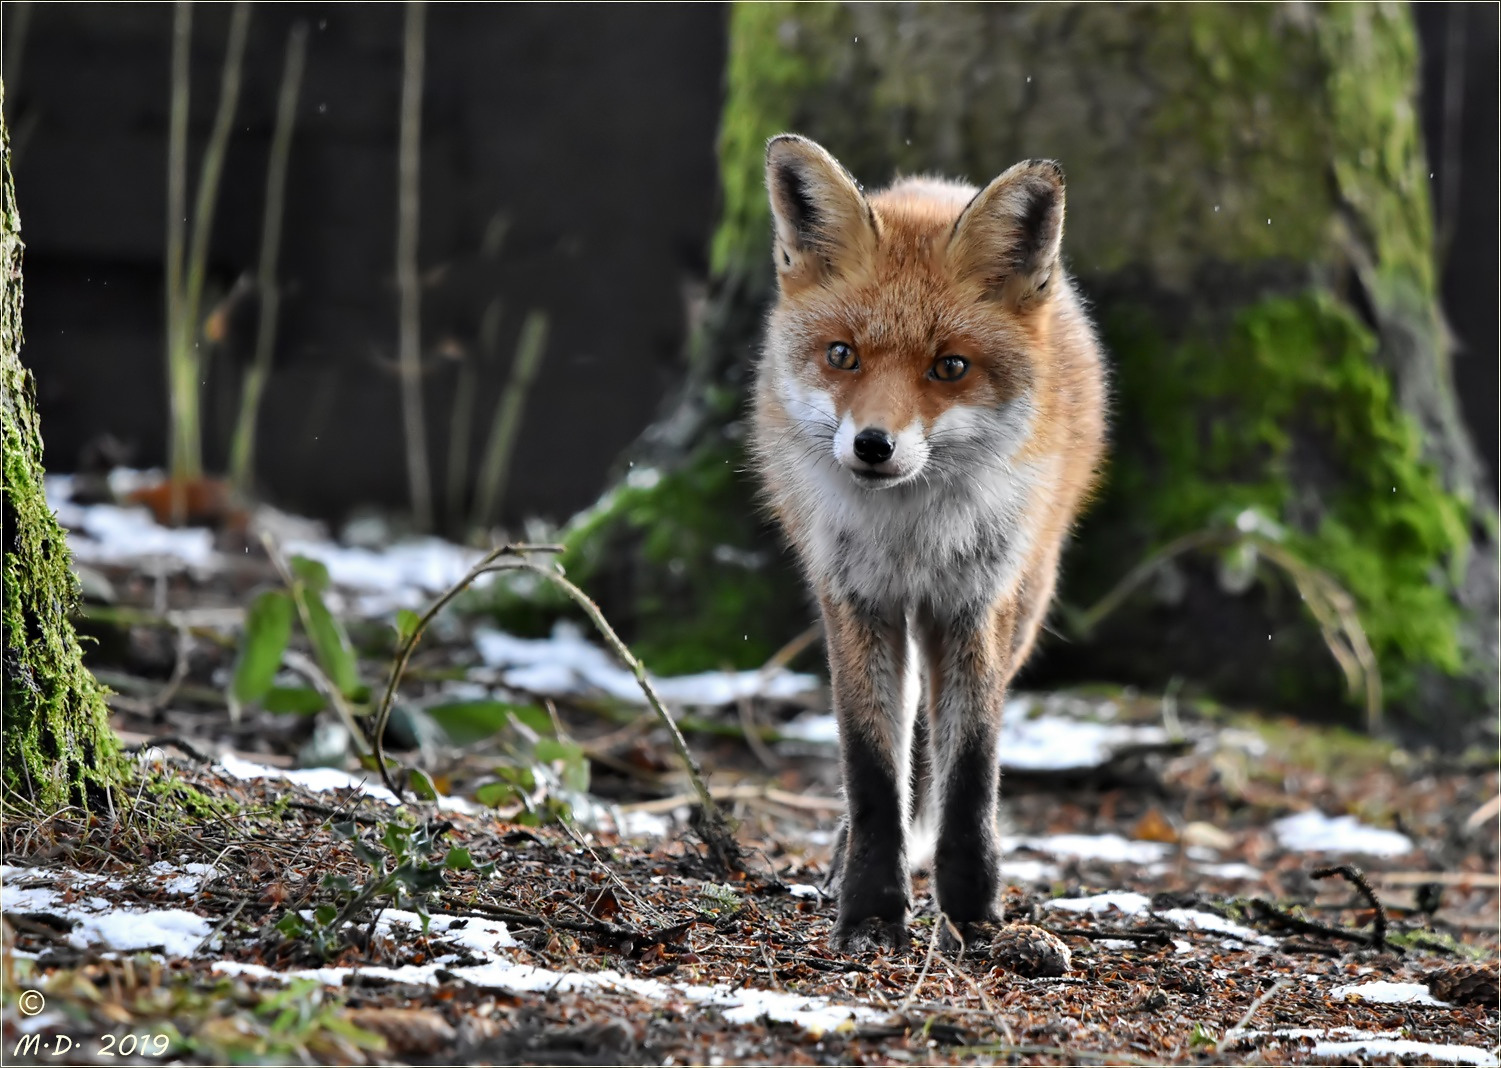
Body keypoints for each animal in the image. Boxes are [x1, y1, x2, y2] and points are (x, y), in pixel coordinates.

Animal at [747, 133, 1104, 954]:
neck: (909, 535)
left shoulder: (974, 605)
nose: (873, 445)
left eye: (950, 367)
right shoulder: (854, 601)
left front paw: (973, 911)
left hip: (1021, 603)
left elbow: (970, 769)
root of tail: (934, 184)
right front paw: (872, 910)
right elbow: (871, 769)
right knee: (903, 742)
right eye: (842, 355)